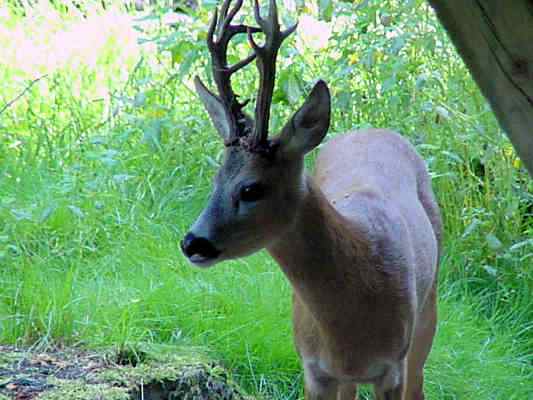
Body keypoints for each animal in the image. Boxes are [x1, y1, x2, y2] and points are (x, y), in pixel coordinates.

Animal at [180, 1, 440, 398]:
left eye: (251, 188)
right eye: (215, 179)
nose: (192, 242)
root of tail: (374, 130)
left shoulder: (392, 368)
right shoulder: (313, 369)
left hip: (429, 306)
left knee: (420, 380)